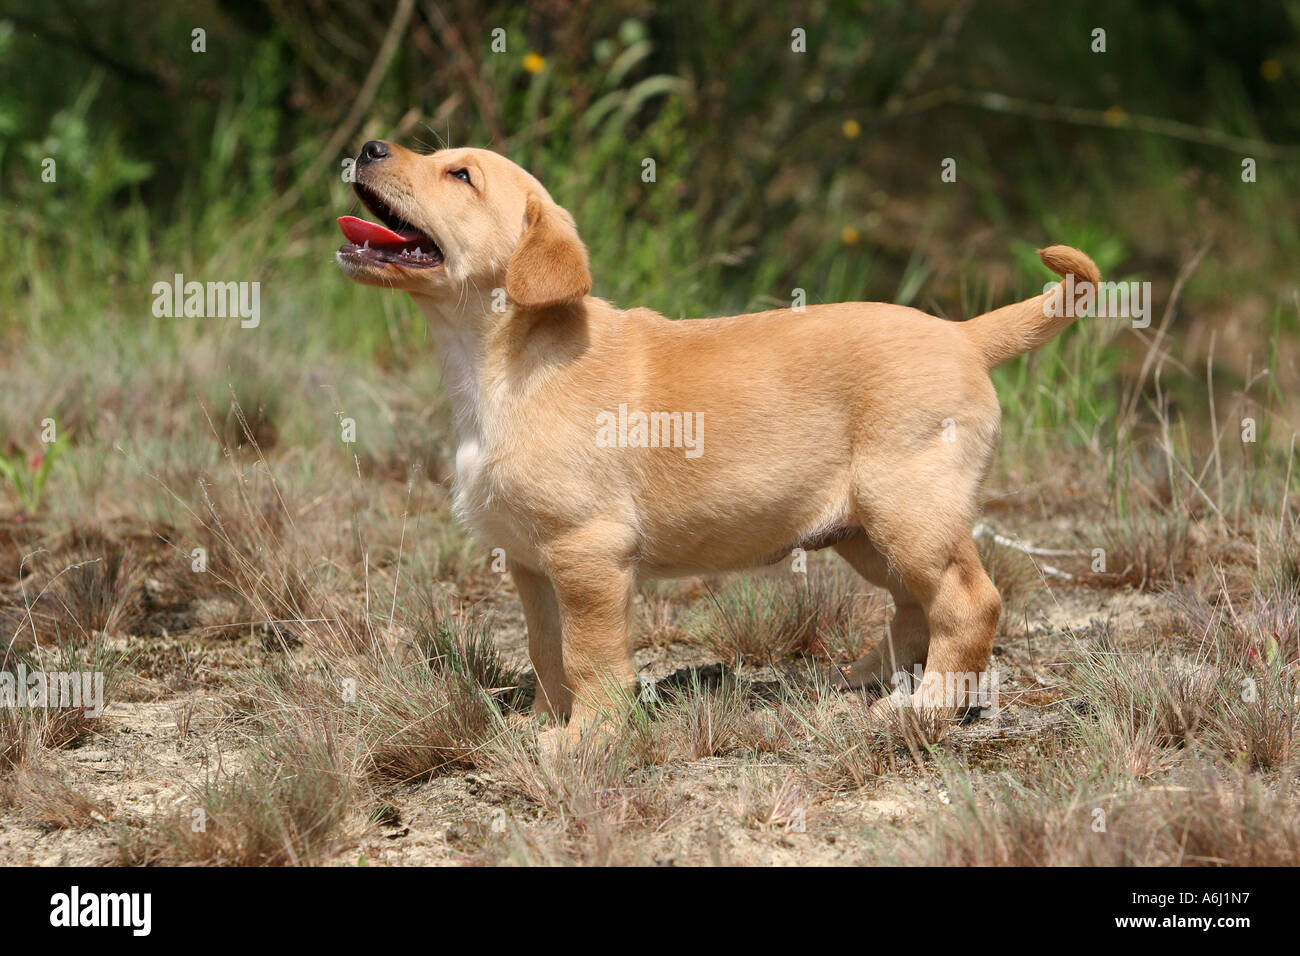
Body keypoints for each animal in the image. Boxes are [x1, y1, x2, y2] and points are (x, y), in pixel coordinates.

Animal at [335, 140, 1097, 738]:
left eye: (460, 175)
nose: (368, 146)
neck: (493, 362)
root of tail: (962, 334)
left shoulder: (587, 551)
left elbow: (589, 656)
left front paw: (586, 738)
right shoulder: (531, 563)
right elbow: (548, 651)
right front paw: (543, 724)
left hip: (910, 508)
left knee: (968, 603)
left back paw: (927, 708)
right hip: (865, 529)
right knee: (915, 605)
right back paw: (870, 680)